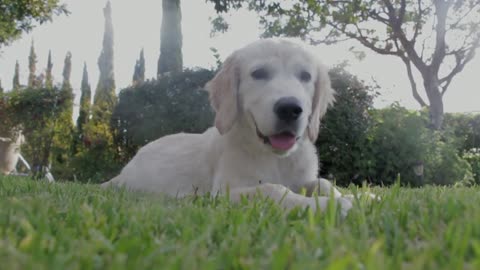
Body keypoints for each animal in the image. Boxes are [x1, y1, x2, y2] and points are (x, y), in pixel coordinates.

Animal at [103, 38, 354, 215]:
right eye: (259, 73)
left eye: (305, 76)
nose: (290, 109)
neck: (273, 158)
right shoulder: (224, 193)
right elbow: (272, 189)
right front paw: (328, 206)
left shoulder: (302, 179)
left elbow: (323, 182)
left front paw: (355, 198)